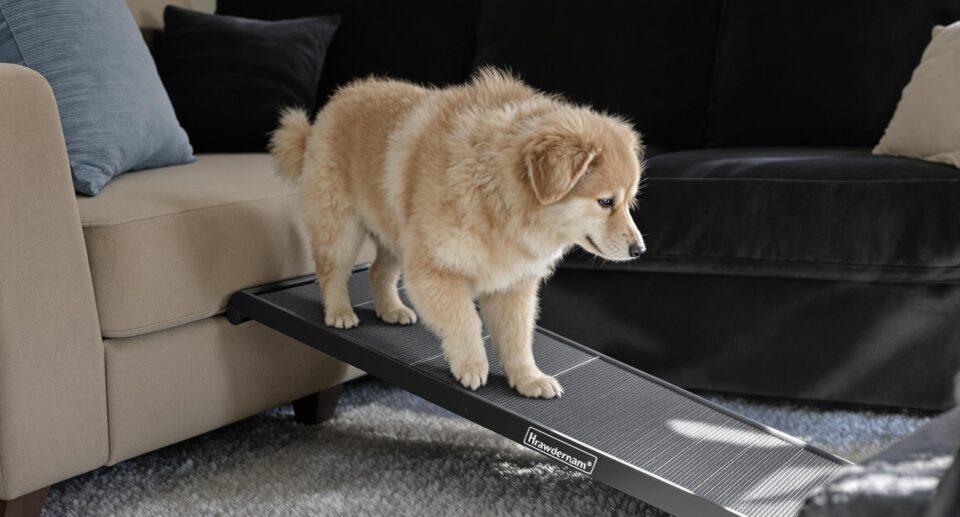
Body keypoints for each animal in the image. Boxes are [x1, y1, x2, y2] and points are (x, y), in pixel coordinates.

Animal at [270, 68, 644, 398]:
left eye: (630, 201)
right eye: (605, 201)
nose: (638, 250)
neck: (499, 198)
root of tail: (336, 100)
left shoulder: (514, 285)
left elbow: (518, 337)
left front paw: (528, 378)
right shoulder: (436, 269)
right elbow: (466, 321)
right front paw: (472, 365)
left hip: (397, 233)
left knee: (379, 272)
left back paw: (391, 309)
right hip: (340, 223)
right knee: (331, 269)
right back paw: (339, 312)